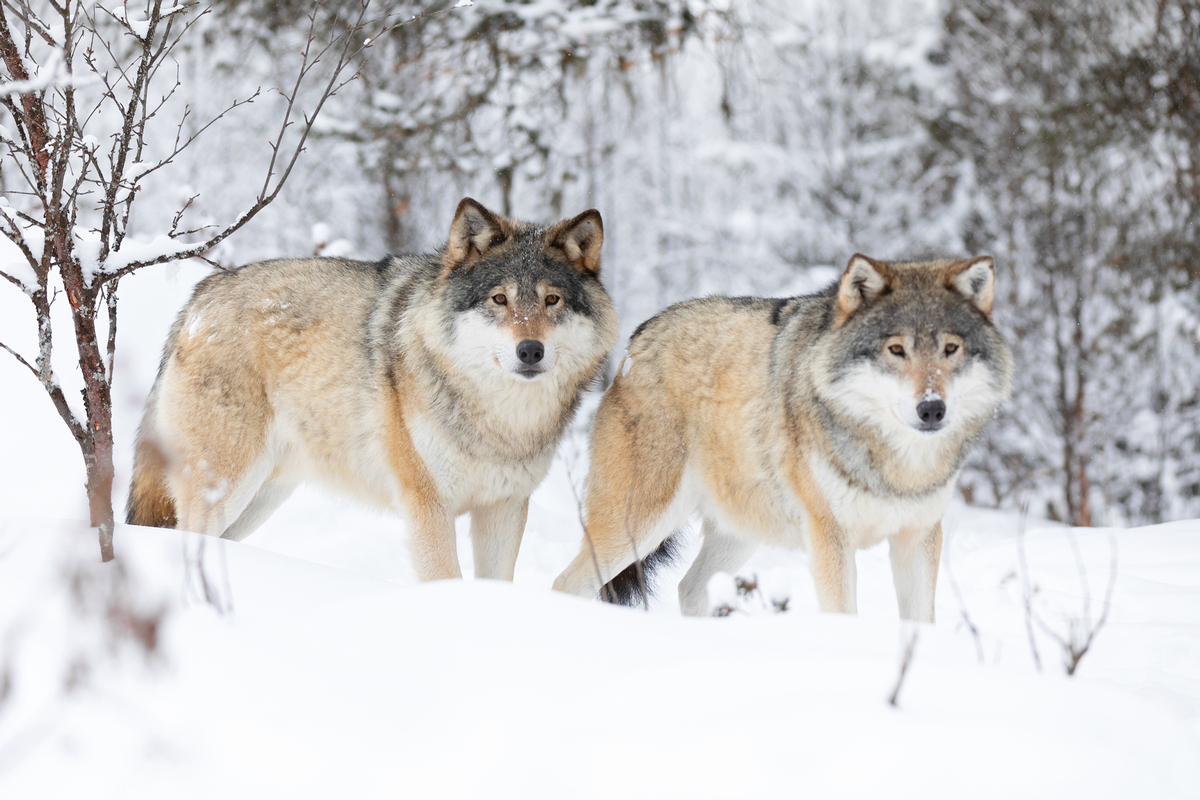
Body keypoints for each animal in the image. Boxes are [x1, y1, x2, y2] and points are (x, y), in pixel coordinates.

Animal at [129, 196, 619, 578]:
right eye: (499, 299)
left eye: (552, 300)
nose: (531, 351)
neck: (500, 421)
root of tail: (201, 294)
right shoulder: (428, 507)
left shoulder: (504, 507)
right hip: (227, 488)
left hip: (259, 499)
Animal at [552, 253, 1012, 623]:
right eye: (896, 349)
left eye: (950, 348)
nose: (932, 409)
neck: (893, 465)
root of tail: (638, 338)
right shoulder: (830, 539)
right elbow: (843, 614)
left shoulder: (917, 538)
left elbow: (920, 623)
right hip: (639, 526)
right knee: (566, 584)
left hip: (738, 533)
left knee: (690, 587)